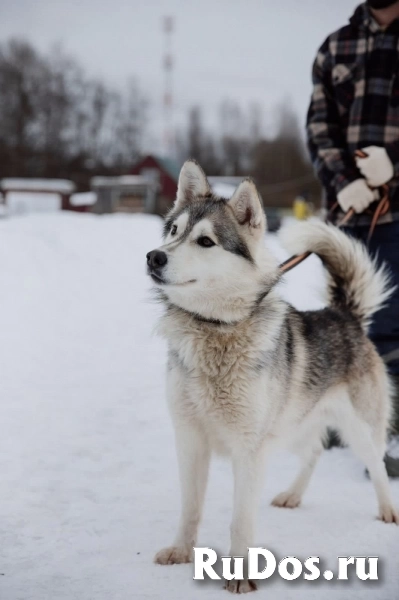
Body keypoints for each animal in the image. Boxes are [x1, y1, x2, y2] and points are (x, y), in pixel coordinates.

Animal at [148, 161, 399, 596]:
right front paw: (181, 551)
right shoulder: (190, 440)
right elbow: (190, 508)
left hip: (358, 430)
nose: (154, 257)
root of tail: (343, 314)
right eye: (174, 231)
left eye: (206, 241)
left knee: (378, 468)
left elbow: (240, 522)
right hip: (292, 425)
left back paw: (387, 510)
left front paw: (241, 577)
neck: (217, 328)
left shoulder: (249, 450)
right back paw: (293, 495)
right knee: (314, 450)